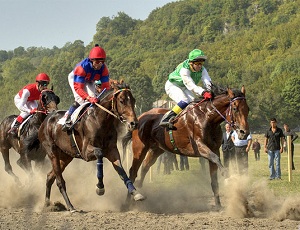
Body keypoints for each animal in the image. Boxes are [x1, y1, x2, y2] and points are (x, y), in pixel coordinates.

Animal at [26, 80, 146, 212]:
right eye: (122, 100)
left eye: (133, 100)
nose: (134, 123)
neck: (99, 120)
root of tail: (45, 121)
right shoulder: (85, 152)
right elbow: (99, 153)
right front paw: (100, 187)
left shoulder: (112, 151)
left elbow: (121, 171)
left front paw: (135, 193)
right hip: (52, 152)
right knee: (59, 180)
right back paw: (70, 206)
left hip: (66, 157)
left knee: (49, 176)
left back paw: (47, 204)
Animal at [122, 85, 251, 208]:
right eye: (235, 108)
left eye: (247, 109)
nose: (244, 132)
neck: (207, 117)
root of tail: (139, 118)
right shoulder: (199, 146)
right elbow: (216, 158)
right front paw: (228, 177)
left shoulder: (214, 148)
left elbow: (214, 178)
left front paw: (218, 205)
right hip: (139, 148)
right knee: (133, 171)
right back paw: (128, 201)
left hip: (156, 149)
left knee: (145, 166)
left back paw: (138, 187)